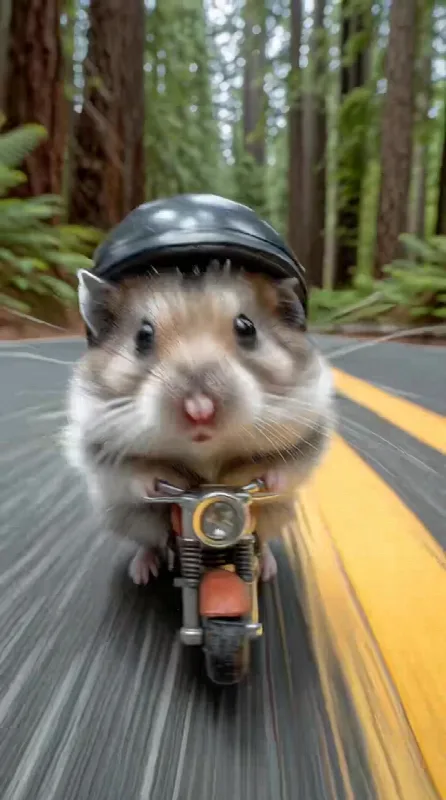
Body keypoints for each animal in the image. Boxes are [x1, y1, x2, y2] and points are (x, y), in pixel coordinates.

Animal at [64, 264, 334, 584]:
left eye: (247, 328)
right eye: (142, 336)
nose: (200, 410)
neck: (206, 455)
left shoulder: (310, 434)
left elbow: (286, 466)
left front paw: (271, 480)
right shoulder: (98, 448)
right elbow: (134, 473)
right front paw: (152, 484)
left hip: (277, 514)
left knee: (262, 539)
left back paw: (267, 569)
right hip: (125, 518)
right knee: (149, 543)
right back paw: (142, 572)